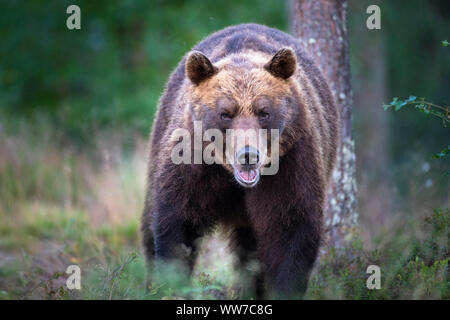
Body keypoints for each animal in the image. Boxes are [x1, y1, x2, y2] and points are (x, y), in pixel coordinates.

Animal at [141, 23, 338, 298]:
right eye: (225, 113)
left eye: (264, 112)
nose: (248, 155)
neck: (230, 178)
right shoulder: (190, 162)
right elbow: (177, 224)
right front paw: (171, 285)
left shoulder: (292, 162)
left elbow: (291, 230)